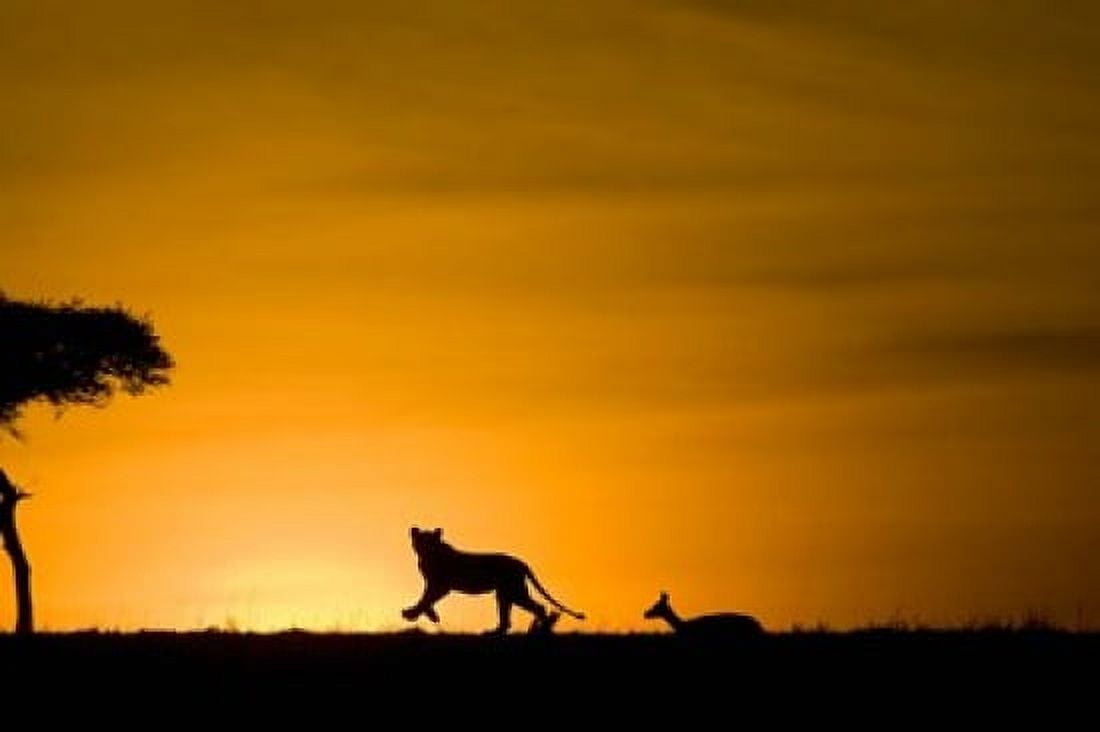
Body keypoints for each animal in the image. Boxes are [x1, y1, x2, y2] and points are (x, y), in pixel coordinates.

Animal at [401, 527, 585, 635]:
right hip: (506, 594)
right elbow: (426, 598)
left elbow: (426, 599)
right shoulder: (433, 584)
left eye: (430, 542)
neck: (430, 556)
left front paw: (411, 614)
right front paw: (430, 615)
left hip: (514, 591)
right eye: (421, 541)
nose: (424, 548)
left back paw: (538, 630)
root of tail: (521, 562)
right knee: (507, 621)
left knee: (538, 607)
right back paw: (496, 631)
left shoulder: (441, 585)